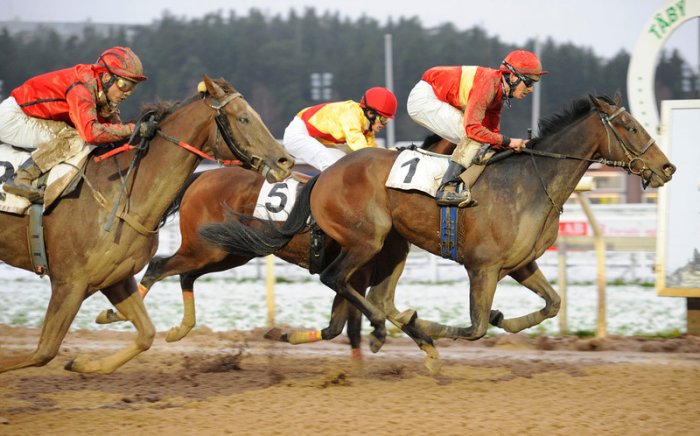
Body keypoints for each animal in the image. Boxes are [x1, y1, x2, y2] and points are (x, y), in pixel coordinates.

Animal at [0, 76, 294, 374]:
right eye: (243, 118)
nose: (286, 161)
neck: (121, 195)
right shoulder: (69, 282)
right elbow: (44, 351)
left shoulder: (115, 278)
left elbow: (146, 335)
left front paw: (83, 362)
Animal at [201, 93, 680, 370]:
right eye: (631, 126)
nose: (667, 168)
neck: (531, 179)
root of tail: (325, 175)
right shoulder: (483, 267)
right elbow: (475, 328)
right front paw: (428, 327)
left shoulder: (521, 264)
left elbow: (551, 305)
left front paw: (505, 318)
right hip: (367, 239)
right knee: (338, 279)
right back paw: (385, 330)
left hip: (394, 246)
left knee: (374, 296)